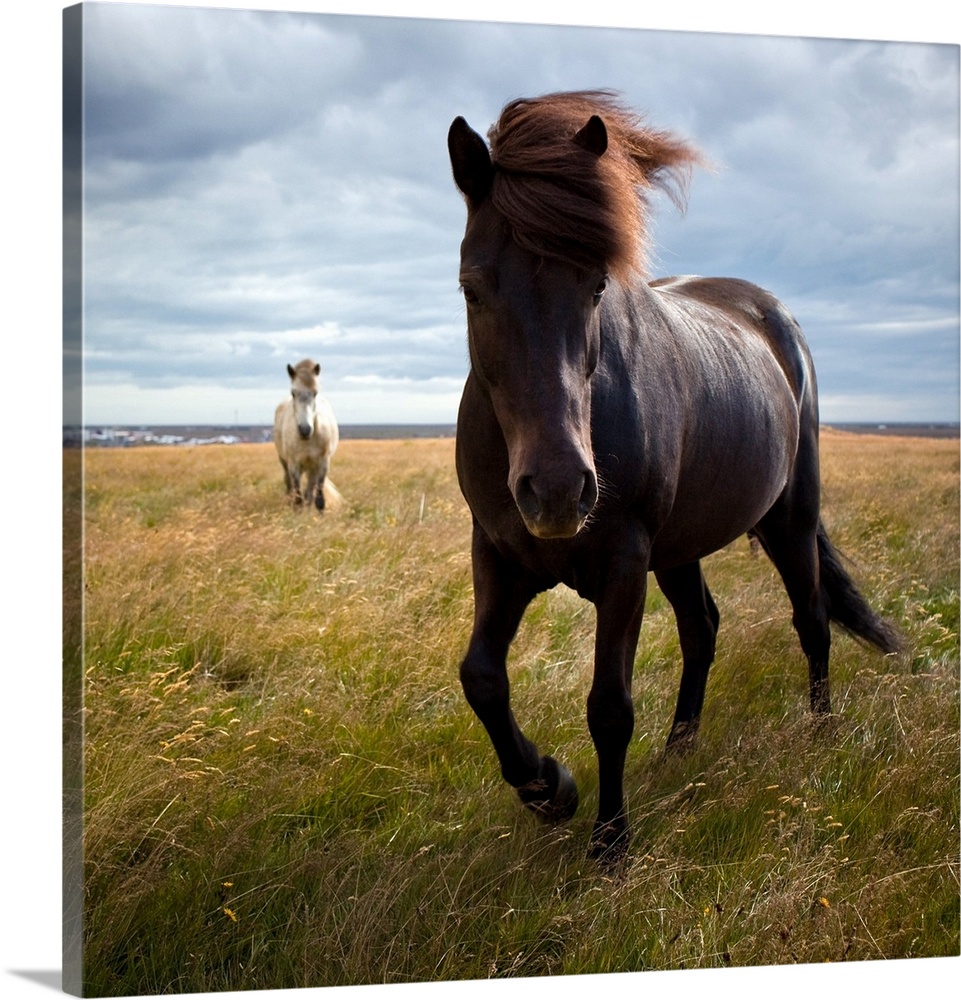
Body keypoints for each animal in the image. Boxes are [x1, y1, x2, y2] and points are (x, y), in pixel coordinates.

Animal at [272, 360, 340, 512]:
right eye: (293, 393)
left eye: (315, 393)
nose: (305, 430)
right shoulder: (294, 465)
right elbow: (298, 498)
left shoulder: (322, 464)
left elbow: (318, 499)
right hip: (285, 463)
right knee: (290, 487)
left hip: (311, 468)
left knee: (309, 492)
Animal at [446, 90, 896, 860]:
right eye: (472, 288)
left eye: (596, 285)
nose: (558, 491)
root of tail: (773, 314)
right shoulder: (500, 552)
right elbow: (481, 677)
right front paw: (547, 786)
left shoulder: (624, 563)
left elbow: (609, 706)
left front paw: (609, 842)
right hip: (681, 548)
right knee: (702, 627)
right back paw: (679, 748)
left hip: (788, 518)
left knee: (810, 618)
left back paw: (822, 731)